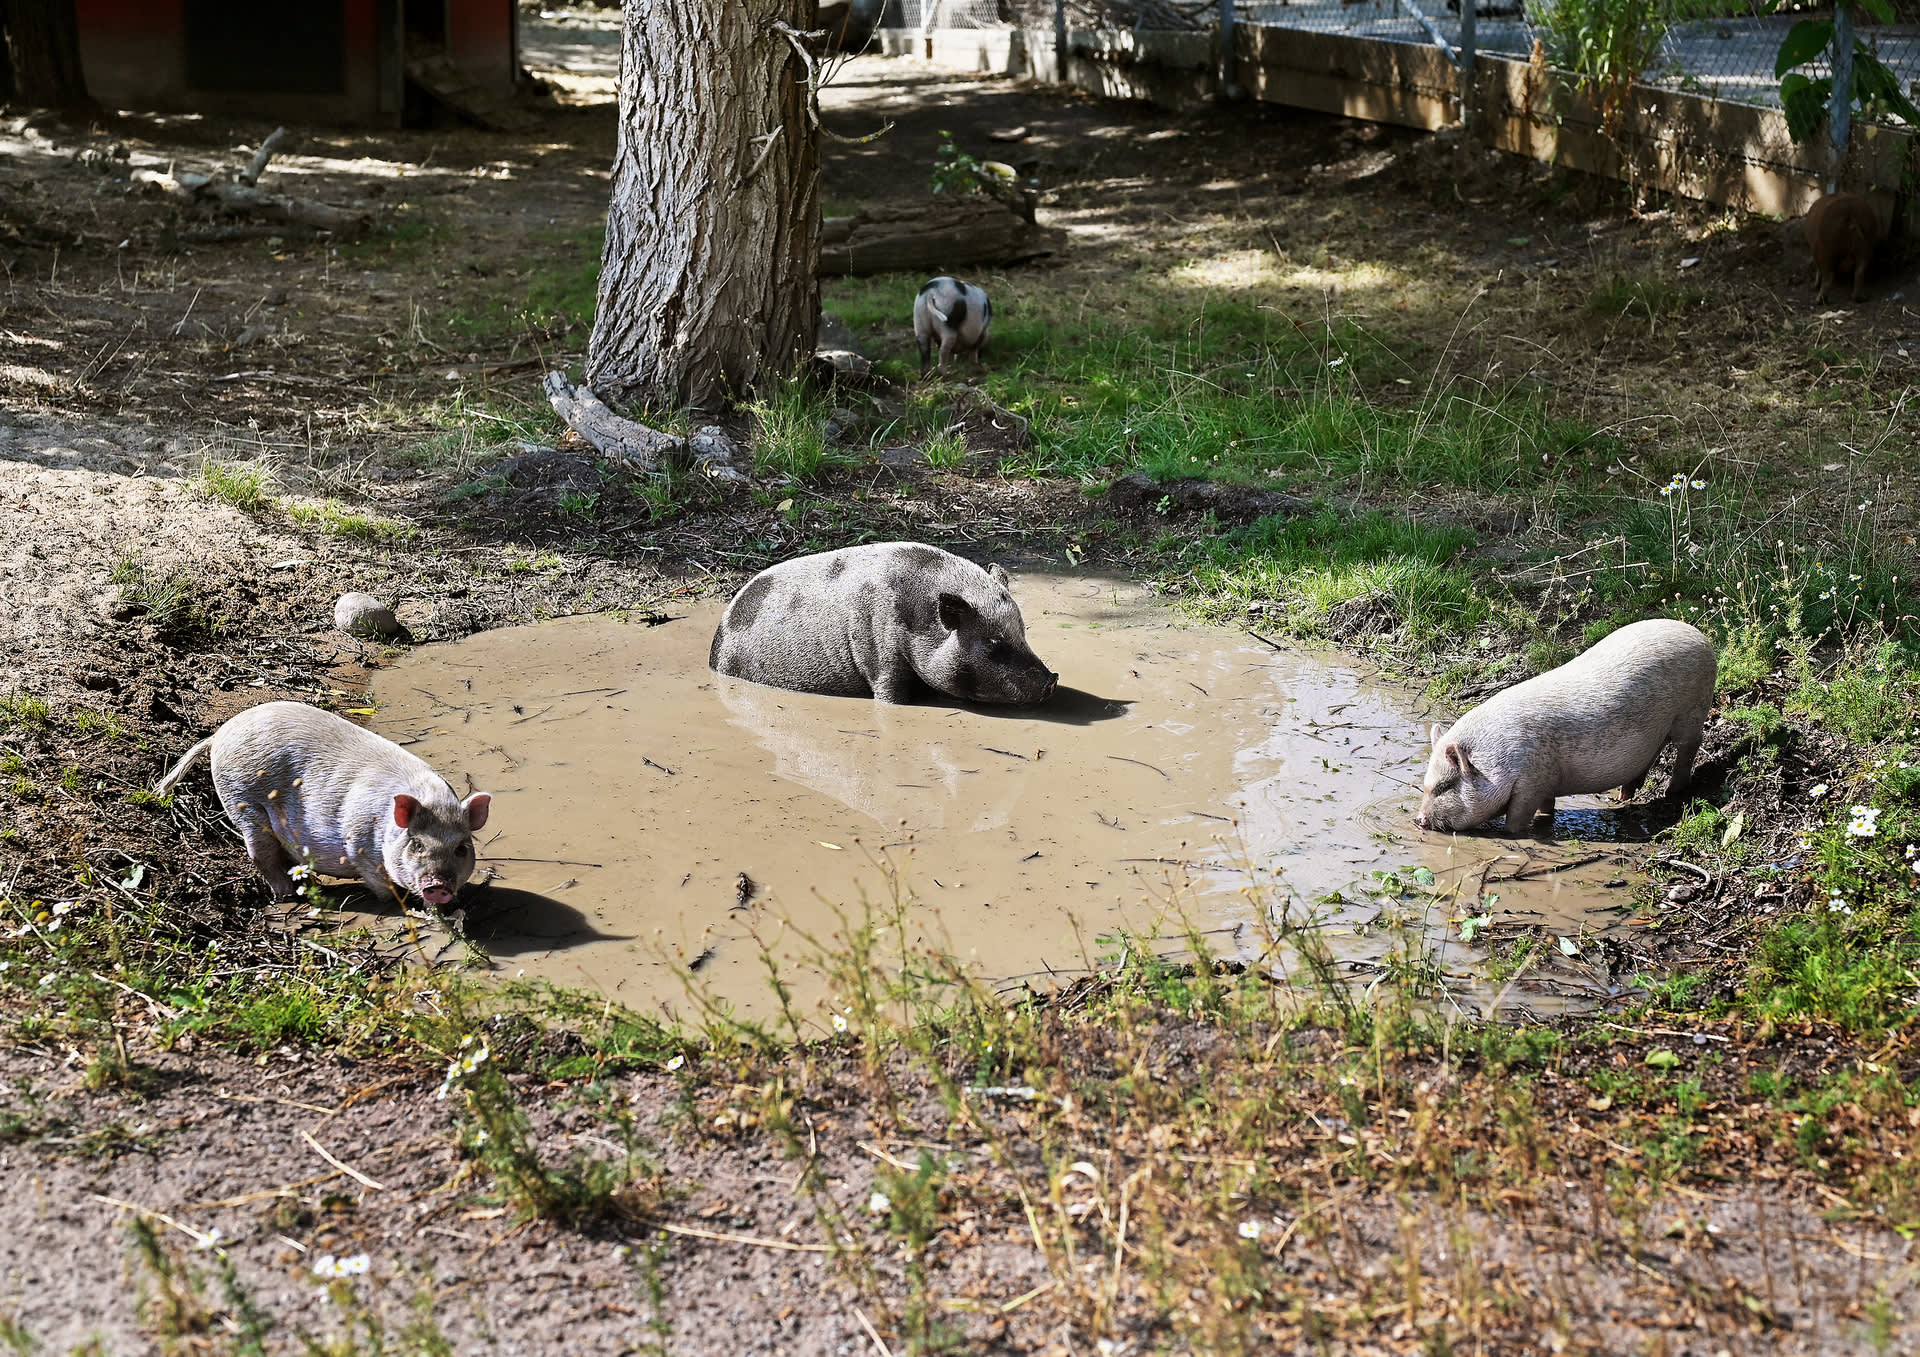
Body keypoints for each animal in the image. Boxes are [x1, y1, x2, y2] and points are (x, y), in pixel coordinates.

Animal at [156, 702, 491, 913]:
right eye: (417, 844)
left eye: (461, 848)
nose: (438, 884)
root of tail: (218, 735)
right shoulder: (360, 850)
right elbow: (383, 887)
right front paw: (404, 905)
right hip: (242, 800)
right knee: (260, 854)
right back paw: (289, 895)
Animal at [710, 541, 1059, 706]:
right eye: (994, 645)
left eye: (1023, 632)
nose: (1053, 678)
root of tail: (716, 646)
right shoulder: (880, 657)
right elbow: (889, 695)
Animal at [1420, 618, 1720, 833]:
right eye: (1426, 785)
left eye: (1445, 786)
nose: (1418, 819)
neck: (1498, 761)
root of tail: (1702, 637)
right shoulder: (1547, 780)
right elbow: (1547, 806)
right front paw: (1545, 819)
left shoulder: (1532, 781)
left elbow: (1517, 819)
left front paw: (1514, 833)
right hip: (1662, 728)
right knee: (1654, 752)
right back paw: (1624, 796)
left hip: (1692, 709)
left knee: (1690, 745)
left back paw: (1673, 792)